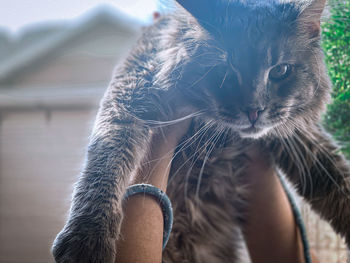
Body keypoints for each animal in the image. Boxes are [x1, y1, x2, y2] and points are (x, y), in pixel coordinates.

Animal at [52, 0, 350, 262]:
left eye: (280, 71)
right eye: (227, 71)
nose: (254, 111)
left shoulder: (302, 139)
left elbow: (339, 183)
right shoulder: (129, 95)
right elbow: (106, 163)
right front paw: (87, 237)